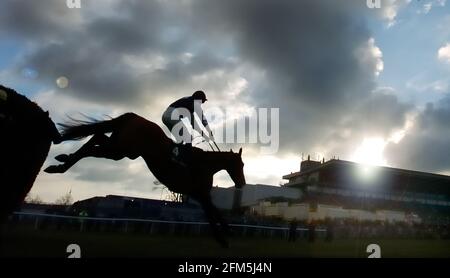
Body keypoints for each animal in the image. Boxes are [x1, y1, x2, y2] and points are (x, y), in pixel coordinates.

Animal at [45, 112, 246, 247]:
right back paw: (60, 165)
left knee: (97, 138)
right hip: (121, 149)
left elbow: (214, 213)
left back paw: (61, 161)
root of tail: (134, 116)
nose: (242, 183)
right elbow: (214, 214)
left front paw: (226, 233)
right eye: (241, 165)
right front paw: (226, 235)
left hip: (121, 149)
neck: (205, 164)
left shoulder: (200, 195)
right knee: (94, 142)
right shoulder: (201, 194)